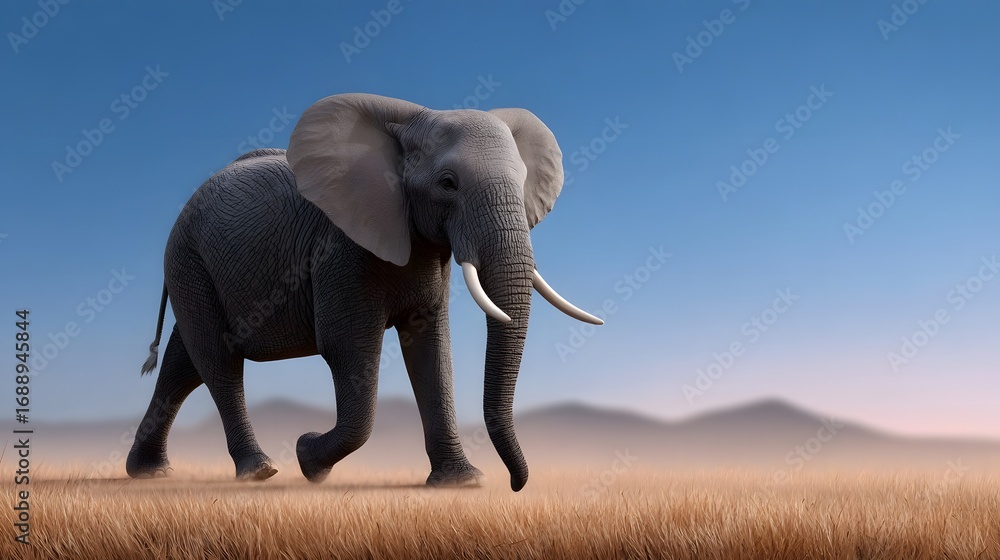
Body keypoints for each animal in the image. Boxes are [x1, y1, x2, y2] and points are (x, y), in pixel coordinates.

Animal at [126, 93, 602, 491]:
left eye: (522, 181)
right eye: (448, 183)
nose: (517, 486)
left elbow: (432, 352)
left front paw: (461, 483)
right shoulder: (339, 250)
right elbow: (347, 348)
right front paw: (307, 456)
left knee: (182, 364)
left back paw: (148, 472)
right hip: (189, 259)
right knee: (217, 360)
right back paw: (258, 471)